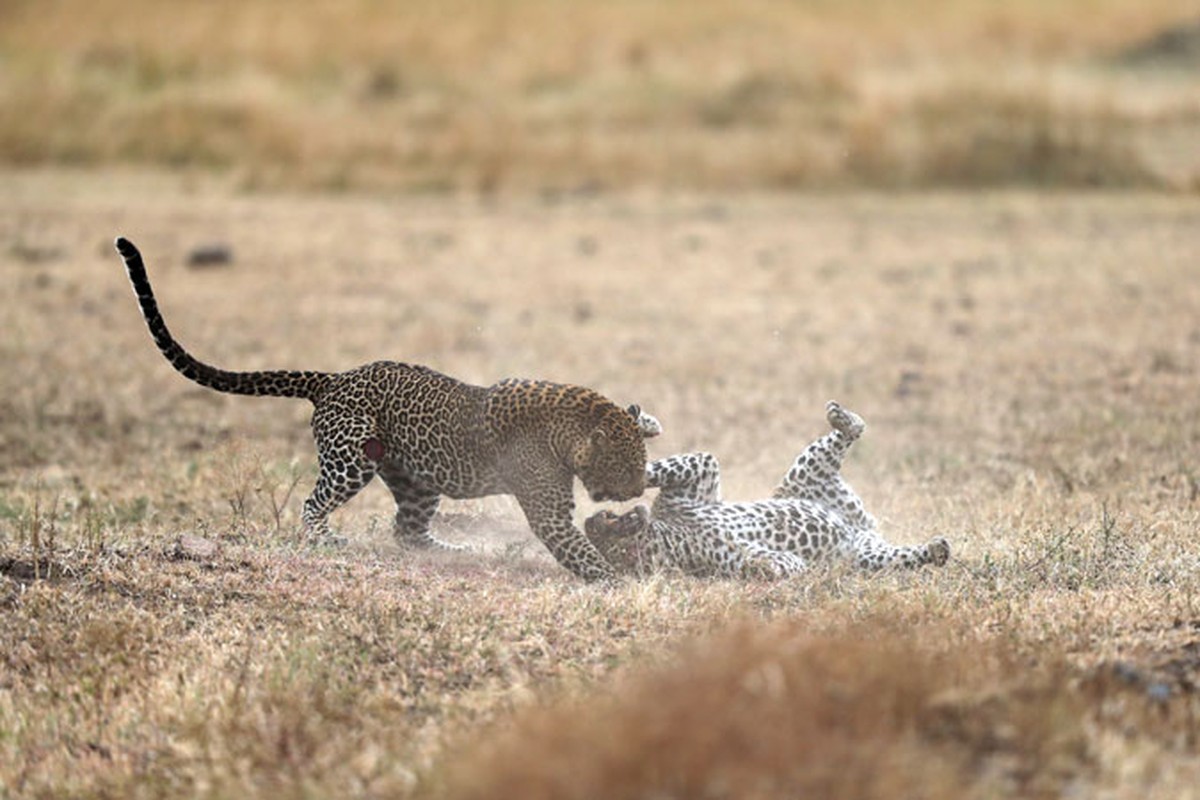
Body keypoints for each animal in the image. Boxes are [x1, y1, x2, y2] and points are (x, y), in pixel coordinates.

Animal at [112, 237, 657, 582]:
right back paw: (325, 539)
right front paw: (615, 581)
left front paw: (647, 421)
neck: (573, 424)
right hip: (353, 458)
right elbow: (576, 549)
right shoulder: (549, 511)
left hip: (416, 480)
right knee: (313, 504)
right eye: (622, 465)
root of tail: (333, 379)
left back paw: (456, 550)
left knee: (407, 531)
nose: (635, 490)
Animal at [585, 402, 950, 578]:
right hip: (865, 551)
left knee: (852, 429)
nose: (591, 521)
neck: (675, 535)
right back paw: (936, 549)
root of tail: (861, 526)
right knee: (903, 556)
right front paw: (759, 570)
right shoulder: (760, 558)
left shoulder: (699, 478)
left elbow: (653, 470)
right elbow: (779, 564)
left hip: (812, 479)